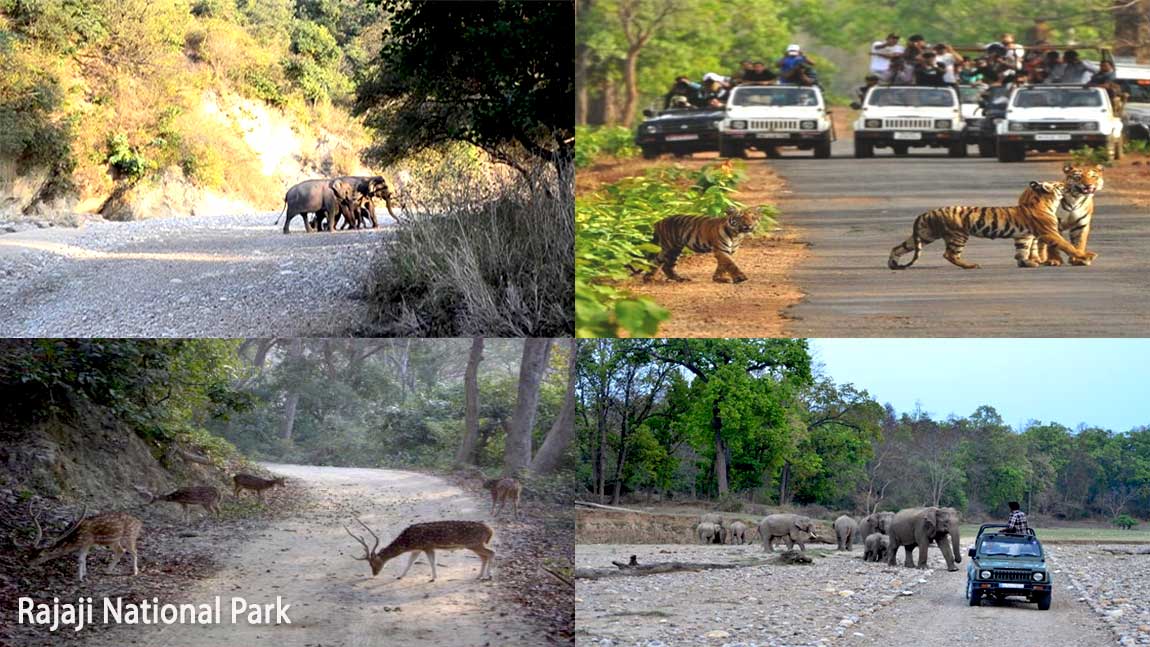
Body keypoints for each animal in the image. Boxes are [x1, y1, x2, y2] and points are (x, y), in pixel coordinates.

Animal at [12, 501, 142, 581]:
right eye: (29, 553)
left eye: (40, 555)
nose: (27, 564)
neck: (76, 539)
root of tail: (139, 522)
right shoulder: (85, 545)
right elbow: (83, 558)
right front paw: (84, 574)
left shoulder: (88, 542)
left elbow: (80, 559)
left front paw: (79, 578)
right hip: (113, 541)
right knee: (121, 550)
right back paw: (107, 571)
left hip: (129, 536)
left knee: (134, 551)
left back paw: (135, 571)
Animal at [340, 521, 494, 581]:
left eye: (373, 563)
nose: (374, 574)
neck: (407, 542)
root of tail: (490, 530)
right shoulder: (418, 549)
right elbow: (410, 562)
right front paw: (400, 576)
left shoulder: (427, 546)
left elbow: (431, 562)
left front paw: (433, 578)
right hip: (475, 545)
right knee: (484, 556)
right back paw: (479, 576)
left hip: (474, 543)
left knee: (491, 553)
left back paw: (488, 575)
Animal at [887, 179, 1094, 271]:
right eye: (1060, 184)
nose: (1067, 185)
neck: (1044, 201)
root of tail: (927, 212)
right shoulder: (1050, 232)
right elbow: (1067, 245)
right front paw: (1086, 256)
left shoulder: (1024, 236)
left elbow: (1022, 250)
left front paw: (1026, 262)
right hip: (958, 235)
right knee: (950, 254)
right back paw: (970, 265)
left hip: (924, 234)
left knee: (898, 247)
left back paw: (893, 264)